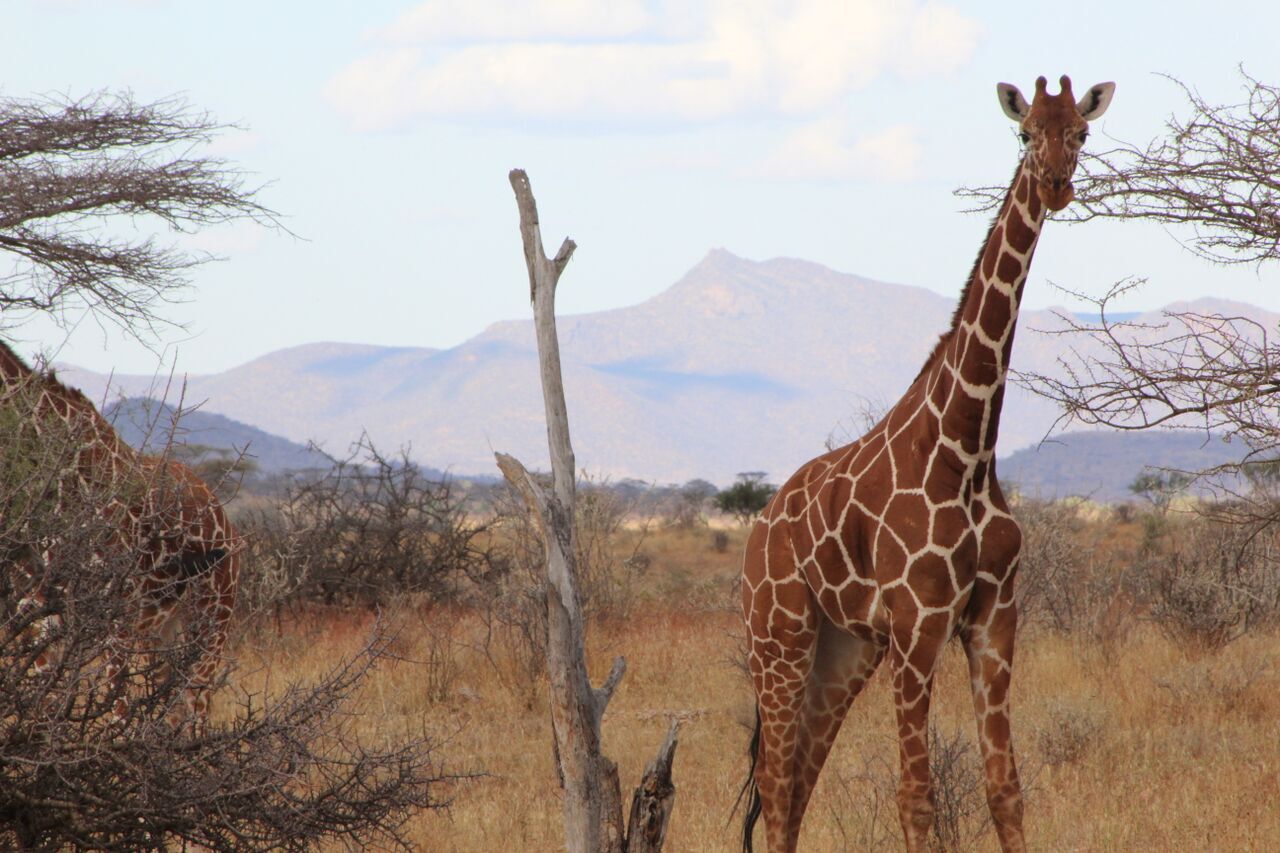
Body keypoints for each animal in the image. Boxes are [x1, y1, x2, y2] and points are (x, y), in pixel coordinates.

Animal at [1, 338, 241, 722]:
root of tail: (226, 522)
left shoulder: (114, 614)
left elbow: (116, 708)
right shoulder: (33, 611)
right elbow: (43, 703)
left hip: (212, 615)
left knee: (196, 706)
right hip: (161, 628)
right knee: (170, 704)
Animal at [737, 76, 1116, 845]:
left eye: (1081, 132)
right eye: (1024, 133)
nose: (1056, 184)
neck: (966, 450)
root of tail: (760, 527)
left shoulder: (993, 619)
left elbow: (1005, 788)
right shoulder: (917, 625)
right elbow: (916, 795)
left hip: (842, 649)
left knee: (798, 782)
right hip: (778, 634)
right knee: (776, 783)